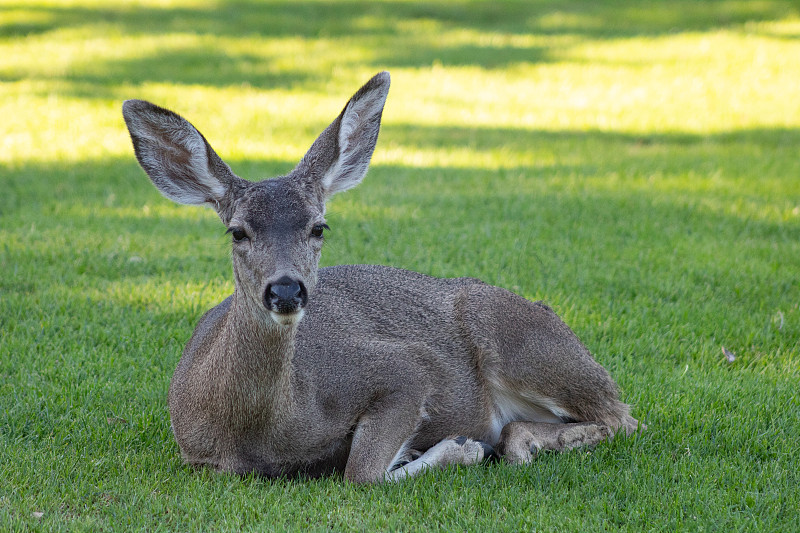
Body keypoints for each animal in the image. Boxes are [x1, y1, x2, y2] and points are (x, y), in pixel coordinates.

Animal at [122, 70, 640, 482]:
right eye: (237, 232)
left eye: (319, 227)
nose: (286, 289)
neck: (263, 431)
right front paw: (459, 449)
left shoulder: (401, 365)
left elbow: (362, 471)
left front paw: (460, 448)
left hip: (517, 337)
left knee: (621, 416)